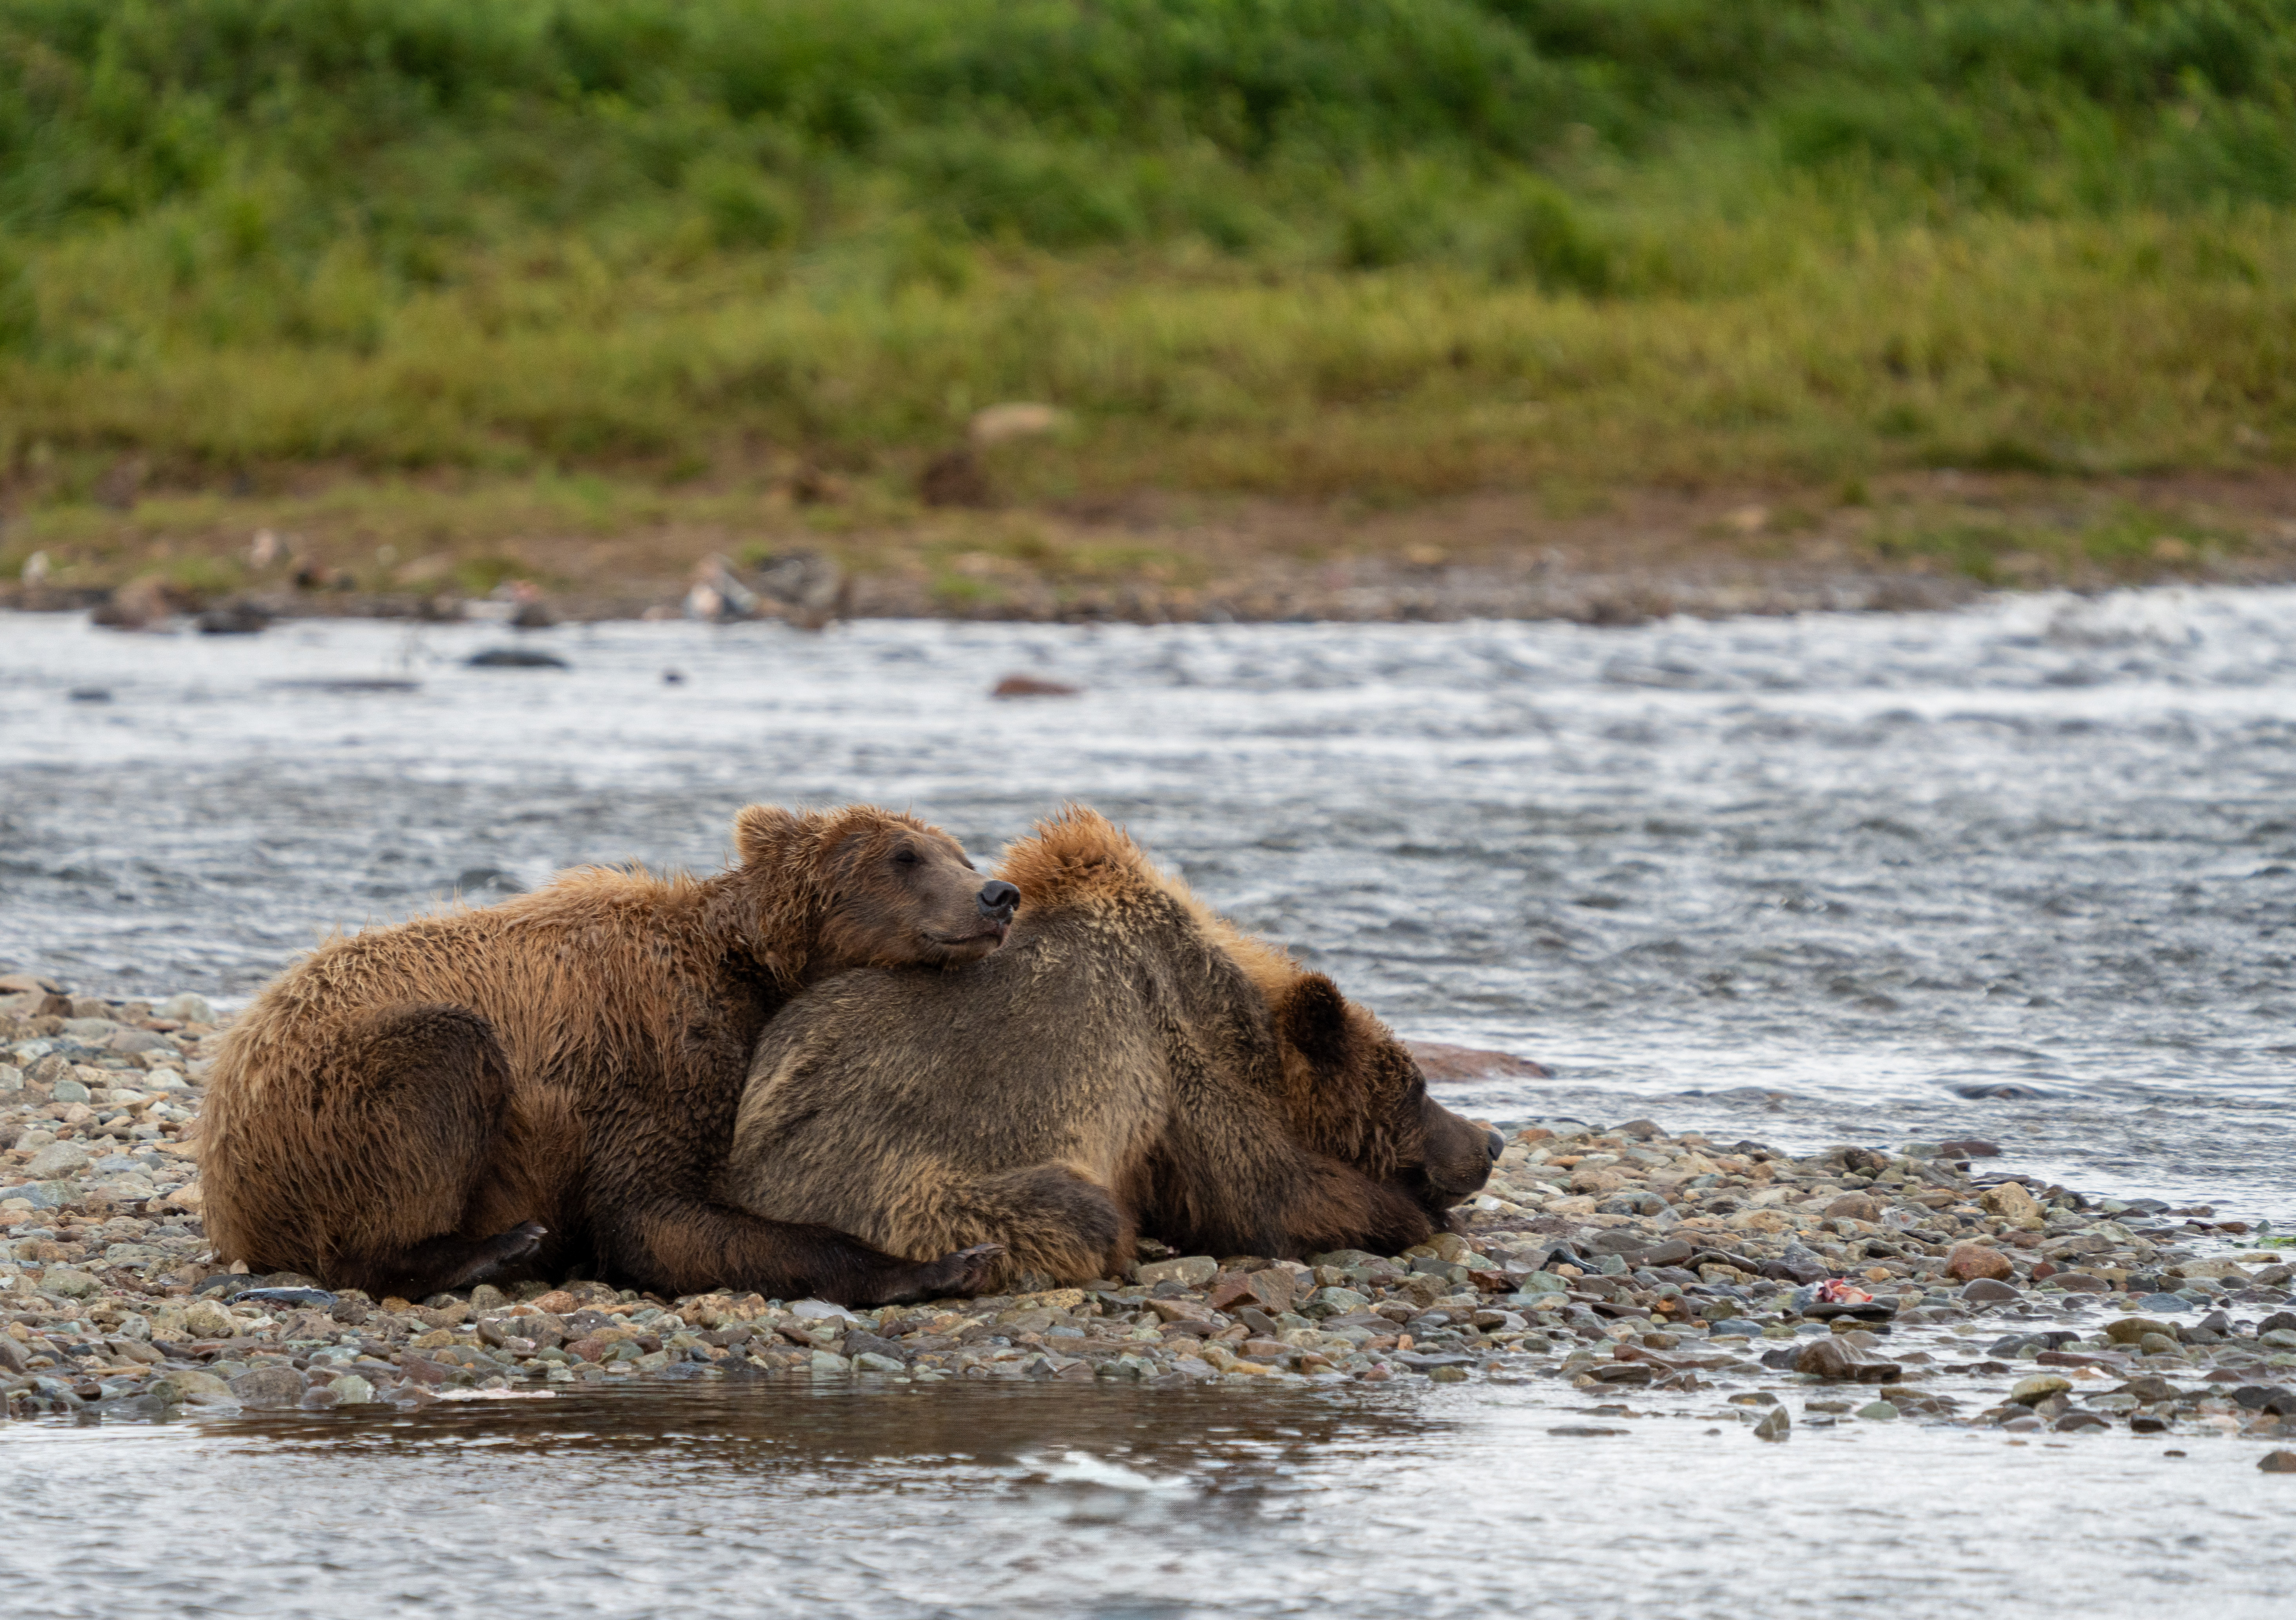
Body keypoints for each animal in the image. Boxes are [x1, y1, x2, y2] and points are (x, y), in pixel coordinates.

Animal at [199, 803, 1020, 1304]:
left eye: (959, 851)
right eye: (904, 856)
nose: (998, 894)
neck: (749, 967)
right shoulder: (656, 1046)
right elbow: (650, 1214)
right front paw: (942, 1261)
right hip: (326, 1098)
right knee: (441, 1069)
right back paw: (493, 1246)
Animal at [718, 806, 1499, 1292]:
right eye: (1416, 1085)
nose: (1489, 1140)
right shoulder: (1178, 1059)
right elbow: (1267, 1193)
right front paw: (1410, 1212)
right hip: (899, 1189)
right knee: (1074, 1211)